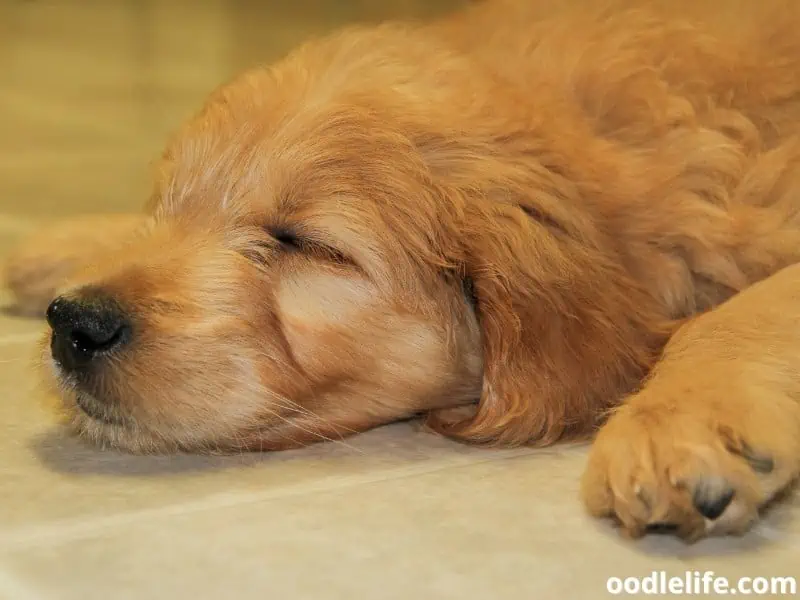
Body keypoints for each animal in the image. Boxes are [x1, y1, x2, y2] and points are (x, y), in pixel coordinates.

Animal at [4, 0, 800, 540]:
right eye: (168, 204)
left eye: (306, 244)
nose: (75, 324)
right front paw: (58, 245)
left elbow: (739, 311)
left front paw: (676, 423)